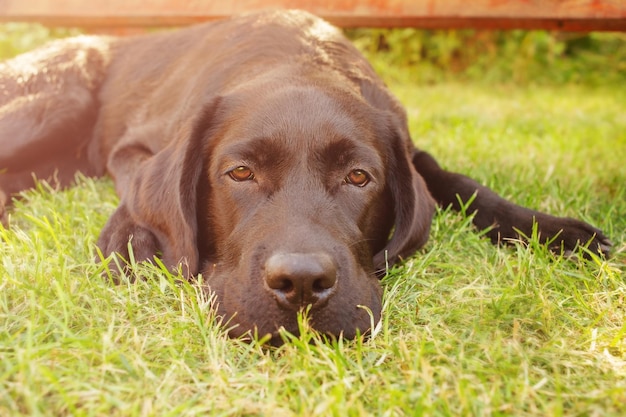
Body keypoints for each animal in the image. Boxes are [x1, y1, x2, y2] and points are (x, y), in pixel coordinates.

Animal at [0, 9, 608, 342]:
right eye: (240, 173)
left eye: (360, 178)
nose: (300, 284)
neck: (298, 60)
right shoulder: (133, 146)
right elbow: (137, 190)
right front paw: (131, 239)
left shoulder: (411, 147)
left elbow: (453, 179)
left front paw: (554, 231)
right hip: (58, 100)